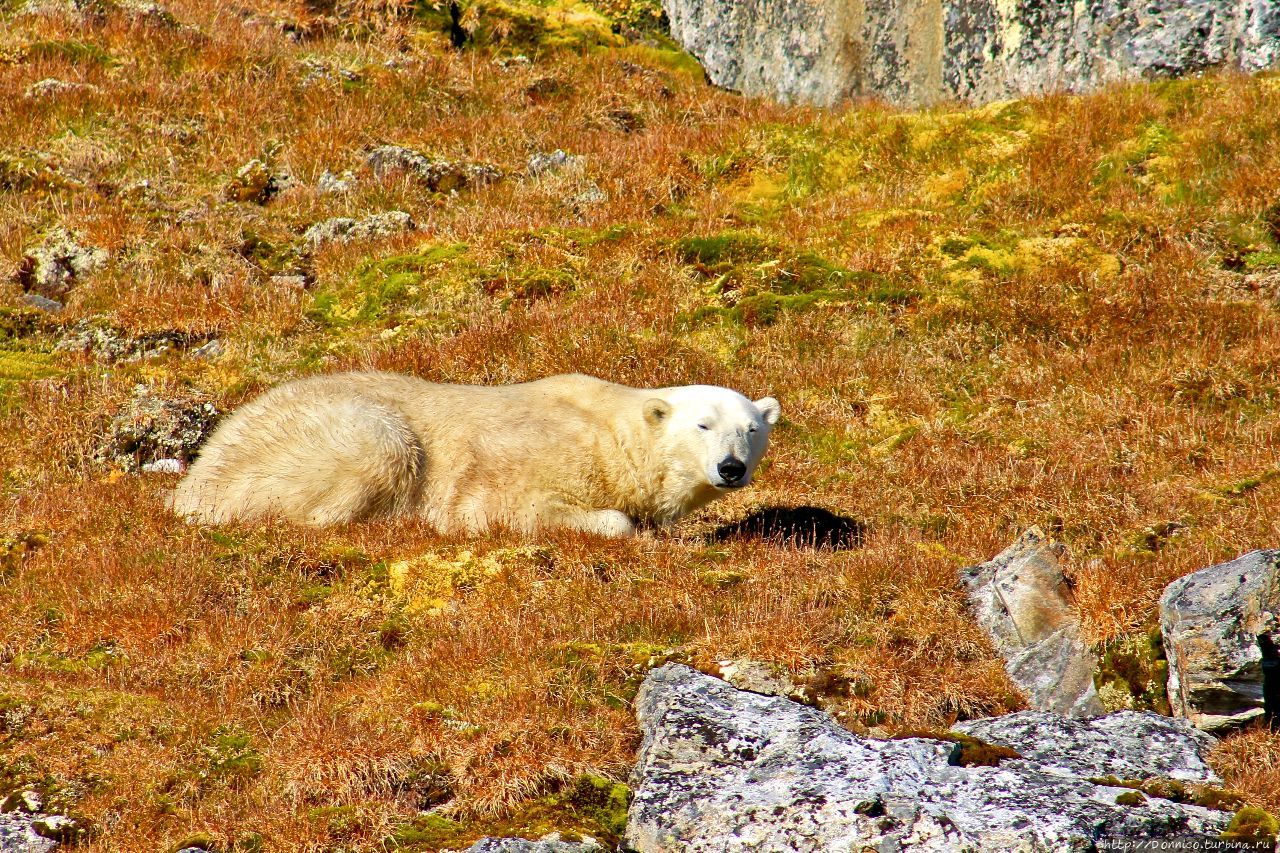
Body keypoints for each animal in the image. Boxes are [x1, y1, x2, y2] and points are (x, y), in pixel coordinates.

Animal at [170, 371, 778, 535]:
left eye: (751, 429)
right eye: (702, 424)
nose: (730, 468)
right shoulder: (529, 462)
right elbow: (510, 507)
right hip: (322, 436)